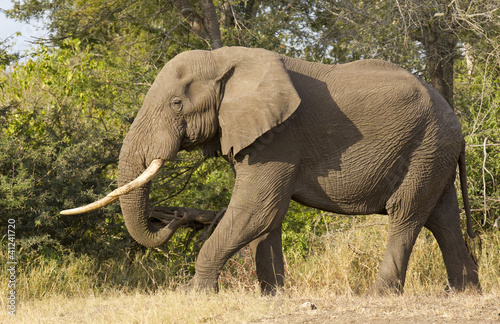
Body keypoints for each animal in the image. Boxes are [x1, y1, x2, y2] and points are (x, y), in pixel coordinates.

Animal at [62, 46, 480, 296]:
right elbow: (268, 217)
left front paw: (196, 295)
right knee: (442, 218)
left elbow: (256, 209)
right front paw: (274, 295)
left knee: (406, 214)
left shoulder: (280, 136)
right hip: (434, 153)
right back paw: (464, 293)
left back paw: (379, 296)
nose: (172, 217)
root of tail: (457, 123)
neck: (225, 61)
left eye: (177, 103)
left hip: (427, 146)